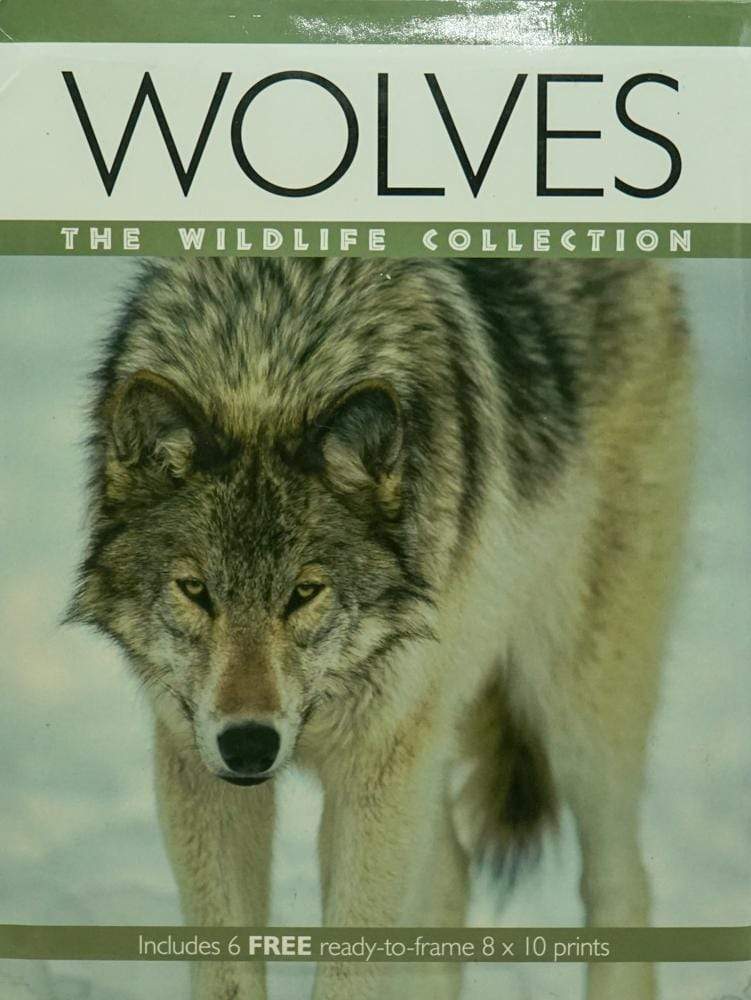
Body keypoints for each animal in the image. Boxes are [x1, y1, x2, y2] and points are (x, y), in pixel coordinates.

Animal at [69, 257, 692, 1000]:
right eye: (196, 591)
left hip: (574, 718)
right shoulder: (199, 766)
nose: (248, 745)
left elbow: (350, 967)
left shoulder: (377, 767)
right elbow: (229, 972)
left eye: (304, 593)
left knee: (619, 880)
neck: (269, 364)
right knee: (450, 878)